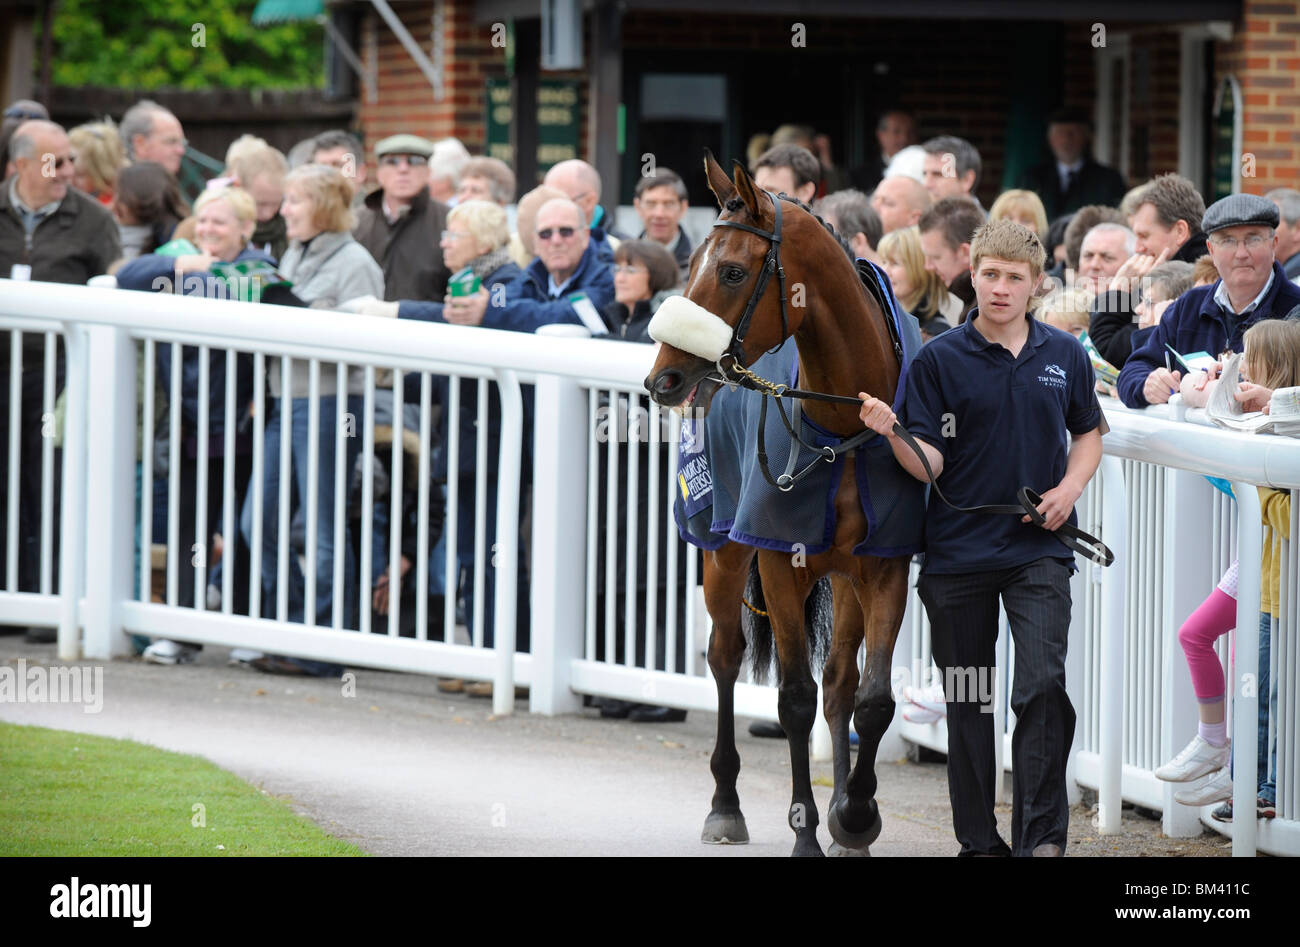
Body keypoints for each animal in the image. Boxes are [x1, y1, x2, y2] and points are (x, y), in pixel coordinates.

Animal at [643, 152, 917, 857]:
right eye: (691, 263)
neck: (845, 424)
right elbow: (793, 697)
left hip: (844, 575)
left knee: (840, 683)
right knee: (724, 655)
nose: (663, 378)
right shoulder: (778, 559)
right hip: (722, 549)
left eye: (733, 271)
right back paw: (724, 804)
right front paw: (806, 832)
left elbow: (871, 698)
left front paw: (855, 815)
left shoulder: (885, 564)